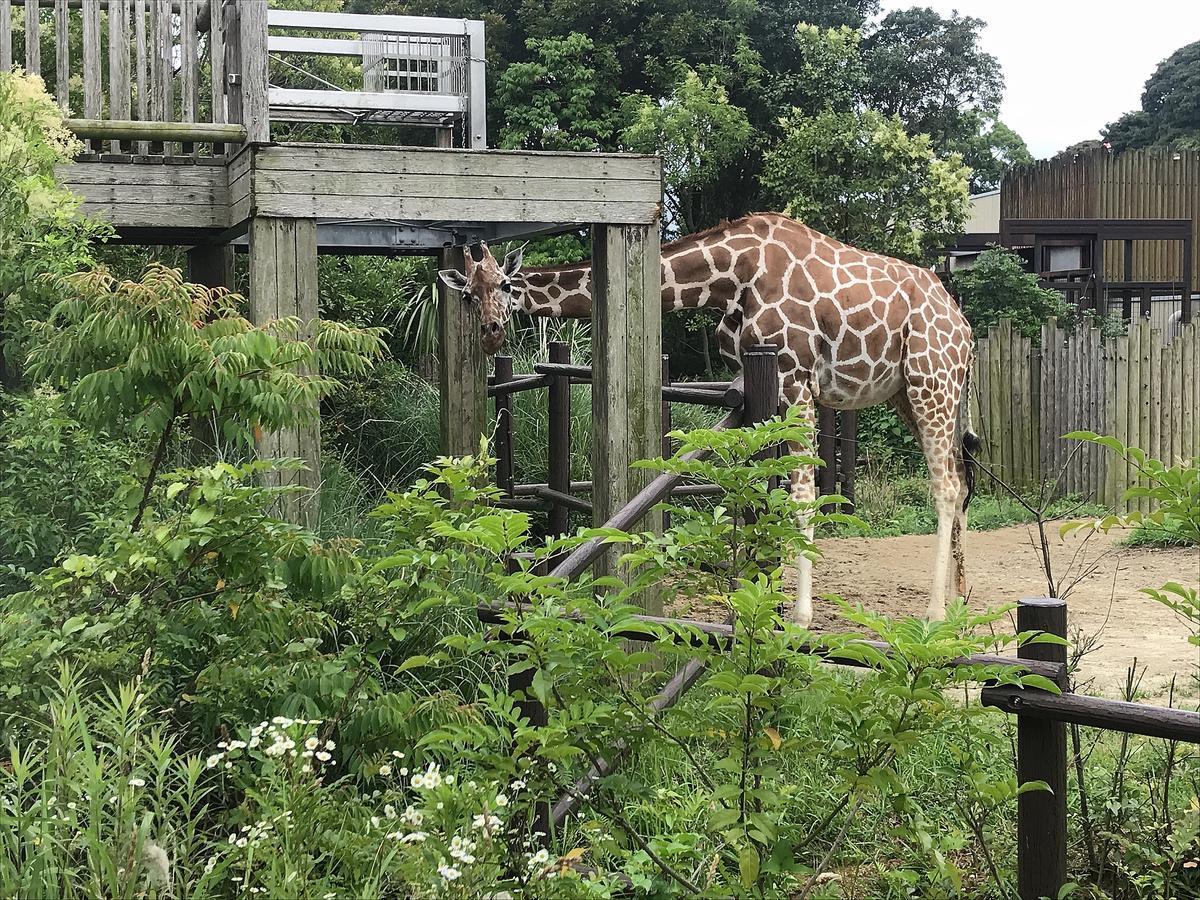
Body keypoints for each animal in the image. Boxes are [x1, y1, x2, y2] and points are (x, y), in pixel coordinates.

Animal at [436, 213, 979, 628]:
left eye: (505, 284)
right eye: (467, 295)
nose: (491, 332)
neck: (730, 278)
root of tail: (964, 326)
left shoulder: (797, 377)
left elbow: (802, 495)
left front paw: (799, 616)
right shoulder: (755, 382)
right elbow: (752, 488)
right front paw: (755, 599)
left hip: (931, 380)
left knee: (947, 484)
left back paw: (934, 613)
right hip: (911, 393)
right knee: (961, 477)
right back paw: (960, 601)